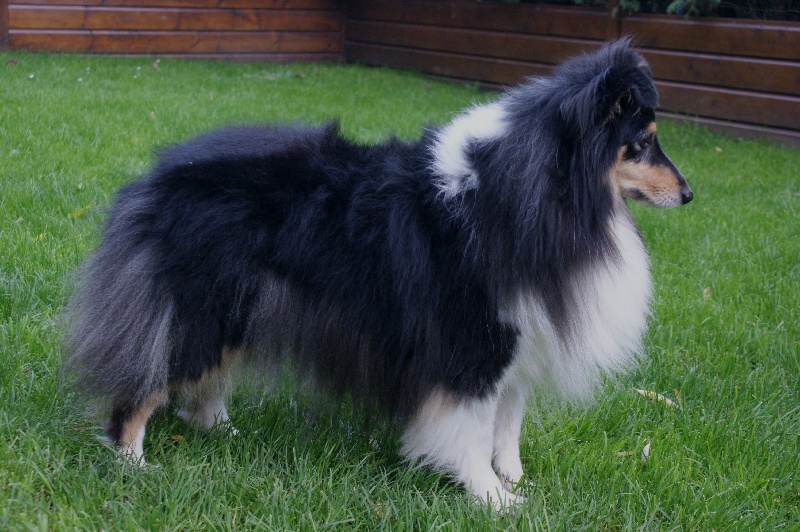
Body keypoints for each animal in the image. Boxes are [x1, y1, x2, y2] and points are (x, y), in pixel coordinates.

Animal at [65, 39, 692, 510]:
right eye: (641, 143)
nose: (689, 194)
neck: (539, 193)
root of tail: (155, 178)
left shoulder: (520, 341)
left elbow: (507, 425)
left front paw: (516, 481)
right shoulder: (473, 346)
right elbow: (472, 427)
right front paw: (493, 499)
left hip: (241, 310)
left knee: (202, 385)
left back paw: (223, 432)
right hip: (196, 310)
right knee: (142, 387)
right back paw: (133, 464)